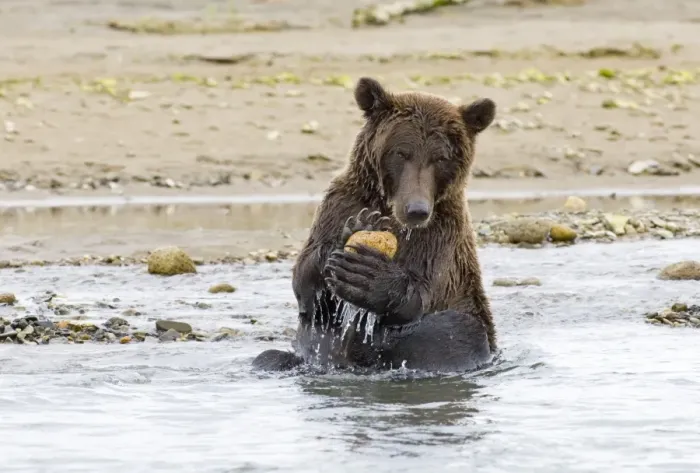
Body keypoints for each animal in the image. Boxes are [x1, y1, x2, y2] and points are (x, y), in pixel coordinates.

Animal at [252, 76, 497, 373]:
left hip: (465, 322)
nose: (416, 210)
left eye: (440, 158)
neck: (390, 210)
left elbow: (420, 292)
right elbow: (308, 291)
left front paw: (369, 276)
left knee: (449, 332)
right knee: (269, 357)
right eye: (401, 153)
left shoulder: (443, 234)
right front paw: (352, 233)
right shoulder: (341, 204)